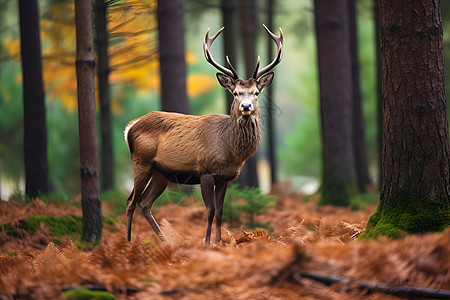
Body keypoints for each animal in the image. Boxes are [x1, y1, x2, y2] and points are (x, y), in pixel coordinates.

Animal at [125, 24, 284, 246]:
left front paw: (219, 243)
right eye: (235, 92)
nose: (246, 106)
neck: (229, 149)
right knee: (131, 201)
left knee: (145, 202)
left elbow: (220, 212)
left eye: (256, 92)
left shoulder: (226, 178)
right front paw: (207, 243)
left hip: (161, 172)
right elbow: (209, 210)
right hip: (142, 161)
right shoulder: (205, 171)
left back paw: (166, 243)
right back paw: (128, 243)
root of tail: (130, 127)